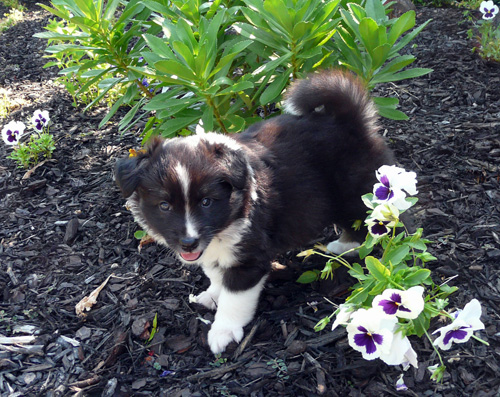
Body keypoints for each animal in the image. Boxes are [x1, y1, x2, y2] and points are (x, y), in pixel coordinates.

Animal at [114, 69, 394, 352]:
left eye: (206, 202)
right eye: (164, 206)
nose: (188, 243)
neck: (228, 220)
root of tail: (349, 120)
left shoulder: (248, 258)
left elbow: (234, 298)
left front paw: (223, 331)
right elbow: (216, 273)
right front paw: (212, 294)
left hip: (355, 194)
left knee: (371, 222)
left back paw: (351, 247)